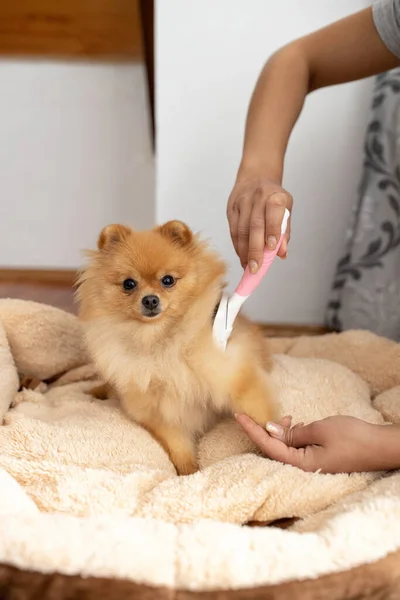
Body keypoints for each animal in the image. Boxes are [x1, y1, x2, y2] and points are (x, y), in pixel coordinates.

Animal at [77, 220, 276, 474]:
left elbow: (262, 416)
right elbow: (178, 446)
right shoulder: (159, 413)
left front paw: (278, 443)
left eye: (168, 280)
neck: (160, 340)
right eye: (129, 284)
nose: (150, 299)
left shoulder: (234, 375)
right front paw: (189, 472)